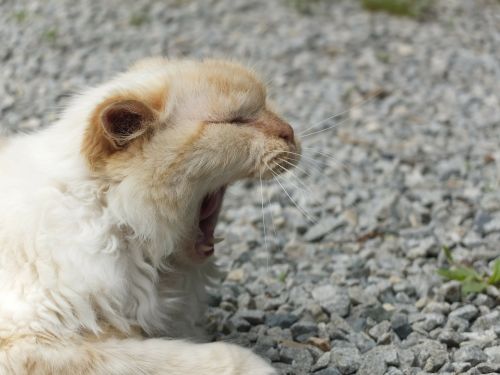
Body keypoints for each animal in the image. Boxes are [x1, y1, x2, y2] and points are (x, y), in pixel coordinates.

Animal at [0, 58, 300, 374]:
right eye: (236, 121)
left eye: (264, 106)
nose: (291, 132)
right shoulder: (26, 342)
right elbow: (172, 355)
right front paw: (260, 366)